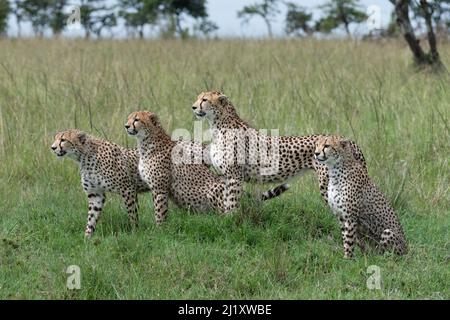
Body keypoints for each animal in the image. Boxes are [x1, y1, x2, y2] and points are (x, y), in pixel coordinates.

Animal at [124, 111, 288, 224]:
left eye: (136, 119)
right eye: (128, 118)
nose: (126, 126)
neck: (146, 143)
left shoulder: (160, 189)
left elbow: (160, 212)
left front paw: (160, 231)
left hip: (215, 189)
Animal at [192, 90, 368, 211]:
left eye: (204, 99)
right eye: (198, 97)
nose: (193, 107)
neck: (217, 124)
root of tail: (348, 140)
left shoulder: (234, 176)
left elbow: (231, 203)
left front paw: (231, 222)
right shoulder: (225, 176)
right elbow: (225, 201)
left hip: (329, 184)